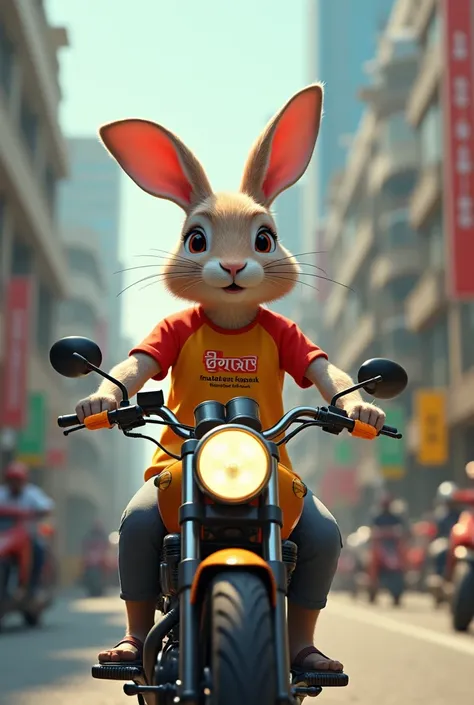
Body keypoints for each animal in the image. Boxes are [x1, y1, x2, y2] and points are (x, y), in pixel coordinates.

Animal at [75, 84, 386, 672]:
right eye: (196, 240)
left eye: (265, 239)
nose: (236, 268)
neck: (232, 319)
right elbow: (139, 363)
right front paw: (97, 401)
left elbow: (318, 364)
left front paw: (364, 409)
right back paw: (126, 647)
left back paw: (310, 656)